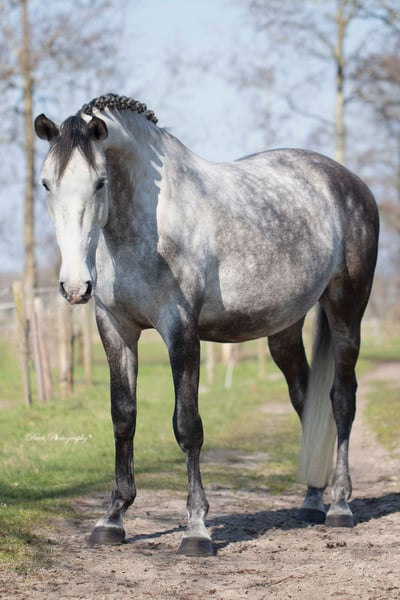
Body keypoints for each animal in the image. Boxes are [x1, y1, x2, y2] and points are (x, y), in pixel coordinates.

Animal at [34, 93, 379, 557]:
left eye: (100, 182)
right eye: (46, 184)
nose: (74, 286)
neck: (150, 223)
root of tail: (350, 182)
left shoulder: (180, 328)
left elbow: (188, 425)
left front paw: (197, 529)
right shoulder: (116, 328)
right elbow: (123, 417)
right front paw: (112, 519)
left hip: (346, 311)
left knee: (341, 400)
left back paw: (340, 505)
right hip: (284, 329)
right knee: (307, 400)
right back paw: (311, 500)